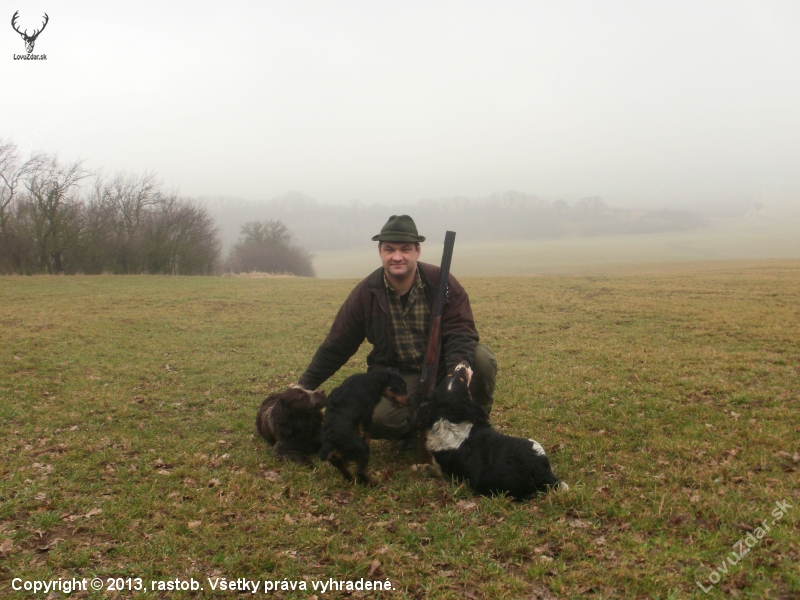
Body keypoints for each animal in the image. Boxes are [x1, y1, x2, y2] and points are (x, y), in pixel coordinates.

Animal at [414, 362, 568, 500]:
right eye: (458, 378)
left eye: (452, 375)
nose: (463, 364)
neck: (449, 421)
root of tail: (538, 471)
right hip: (533, 444)